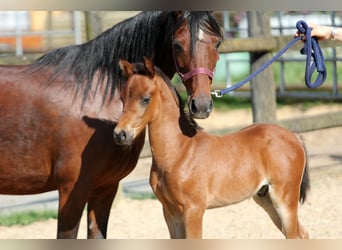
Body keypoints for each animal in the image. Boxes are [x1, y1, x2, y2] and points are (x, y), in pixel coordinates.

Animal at [0, 11, 222, 238]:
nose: (201, 105)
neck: (95, 95)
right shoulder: (71, 190)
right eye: (177, 44)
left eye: (217, 42)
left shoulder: (105, 187)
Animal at [114, 58, 310, 238]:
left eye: (145, 99)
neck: (179, 152)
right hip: (266, 199)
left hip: (284, 199)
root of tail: (294, 136)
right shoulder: (170, 211)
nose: (120, 134)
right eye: (122, 98)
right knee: (302, 233)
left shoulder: (193, 210)